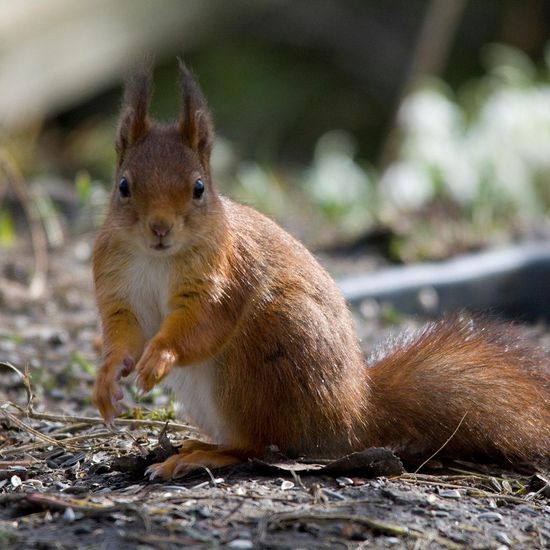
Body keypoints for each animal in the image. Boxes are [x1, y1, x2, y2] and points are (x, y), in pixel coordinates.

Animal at [91, 62, 550, 480]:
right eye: (123, 186)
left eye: (199, 188)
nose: (160, 228)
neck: (157, 258)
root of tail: (352, 412)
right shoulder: (116, 288)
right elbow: (123, 333)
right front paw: (107, 379)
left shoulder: (222, 280)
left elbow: (199, 325)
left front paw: (158, 358)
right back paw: (195, 444)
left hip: (264, 356)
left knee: (259, 444)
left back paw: (201, 456)